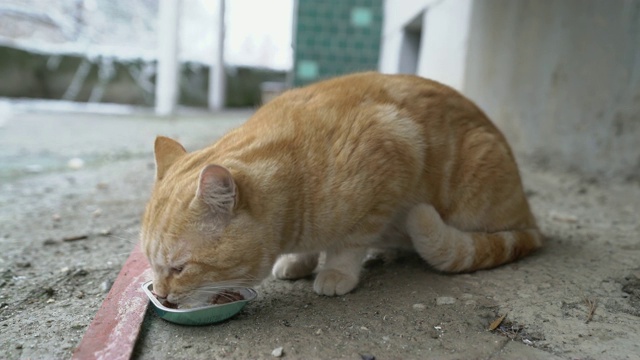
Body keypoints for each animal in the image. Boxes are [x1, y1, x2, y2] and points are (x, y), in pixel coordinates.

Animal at [139, 71, 540, 308]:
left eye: (179, 268)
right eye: (151, 264)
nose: (162, 297)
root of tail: (531, 218)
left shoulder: (394, 156)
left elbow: (348, 243)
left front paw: (336, 273)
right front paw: (298, 261)